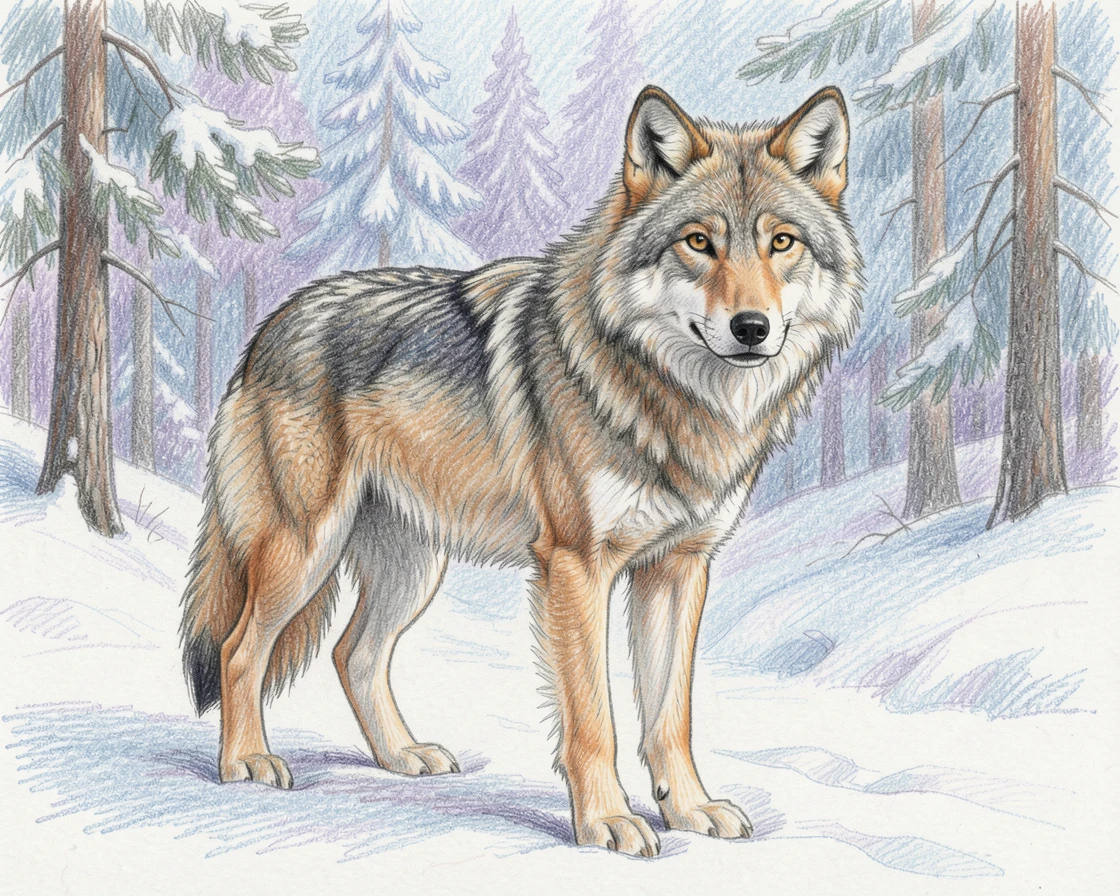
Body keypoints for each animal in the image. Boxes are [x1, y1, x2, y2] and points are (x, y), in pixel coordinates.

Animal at [181, 85, 862, 857]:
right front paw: (606, 822)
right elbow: (594, 719)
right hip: (305, 549)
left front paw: (690, 809)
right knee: (239, 649)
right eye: (698, 242)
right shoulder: (575, 566)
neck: (668, 399)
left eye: (782, 242)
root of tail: (268, 328)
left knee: (354, 654)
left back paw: (402, 756)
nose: (752, 328)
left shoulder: (679, 569)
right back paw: (246, 761)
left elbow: (670, 716)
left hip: (413, 569)